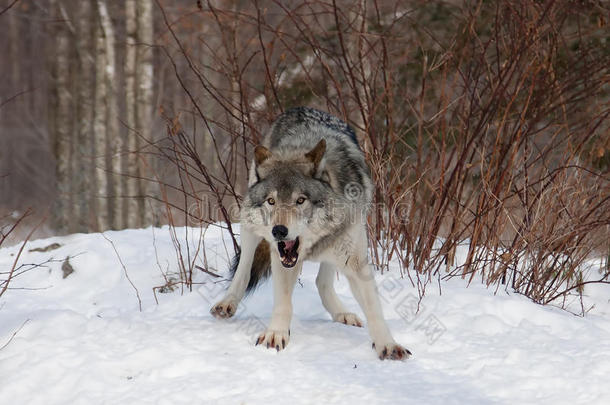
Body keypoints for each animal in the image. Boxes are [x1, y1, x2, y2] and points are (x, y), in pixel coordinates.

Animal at [209, 105, 408, 358]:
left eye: (300, 200)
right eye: (271, 201)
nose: (279, 231)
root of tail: (301, 108)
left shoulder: (355, 262)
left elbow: (373, 308)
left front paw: (388, 345)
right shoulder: (281, 258)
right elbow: (283, 303)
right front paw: (276, 335)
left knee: (322, 282)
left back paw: (342, 313)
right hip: (249, 226)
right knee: (243, 269)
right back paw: (227, 303)